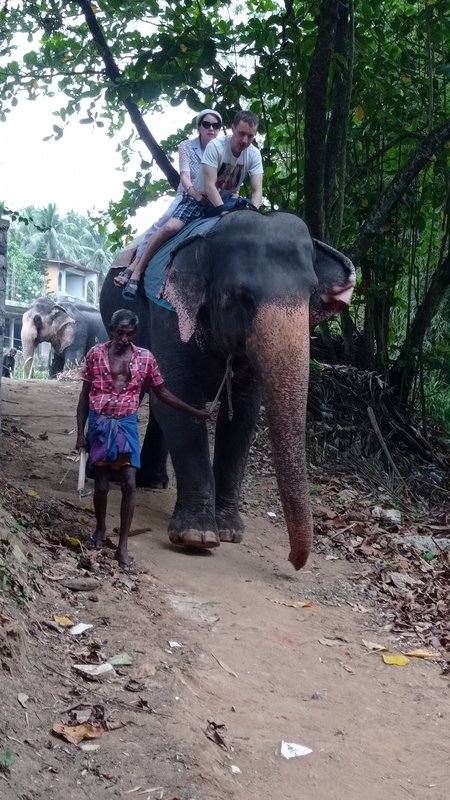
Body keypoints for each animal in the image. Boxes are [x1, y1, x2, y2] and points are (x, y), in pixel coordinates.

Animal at [101, 208, 356, 568]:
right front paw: (197, 536)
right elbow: (181, 399)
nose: (294, 561)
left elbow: (243, 417)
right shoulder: (169, 315)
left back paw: (154, 481)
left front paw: (230, 532)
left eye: (311, 294)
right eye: (243, 297)